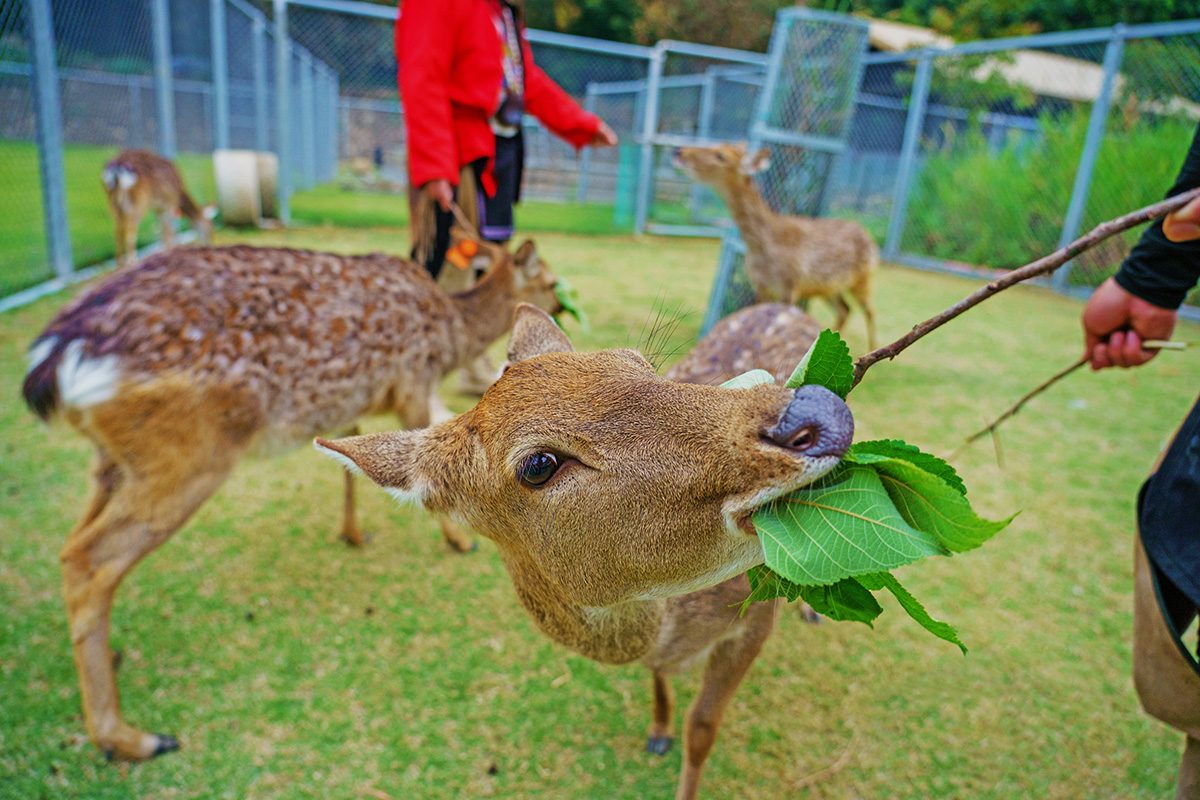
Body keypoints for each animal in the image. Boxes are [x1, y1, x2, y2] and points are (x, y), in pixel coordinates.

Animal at [21, 239, 562, 762]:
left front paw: (352, 532)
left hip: (114, 460)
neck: (449, 332)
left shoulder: (355, 401)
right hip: (188, 452)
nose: (560, 306)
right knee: (89, 557)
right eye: (551, 279)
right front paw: (458, 541)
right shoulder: (412, 379)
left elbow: (350, 454)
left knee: (73, 544)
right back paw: (128, 738)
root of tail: (55, 360)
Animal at [316, 302, 854, 800]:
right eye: (538, 464)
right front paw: (658, 732)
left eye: (640, 362)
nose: (818, 411)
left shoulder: (756, 617)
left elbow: (702, 729)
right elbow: (661, 685)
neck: (675, 634)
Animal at [675, 142, 879, 348]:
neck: (763, 245)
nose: (680, 151)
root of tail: (870, 239)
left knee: (869, 311)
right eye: (716, 145)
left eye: (721, 155)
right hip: (829, 287)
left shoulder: (790, 285)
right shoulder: (761, 285)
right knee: (845, 310)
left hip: (863, 277)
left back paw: (871, 349)